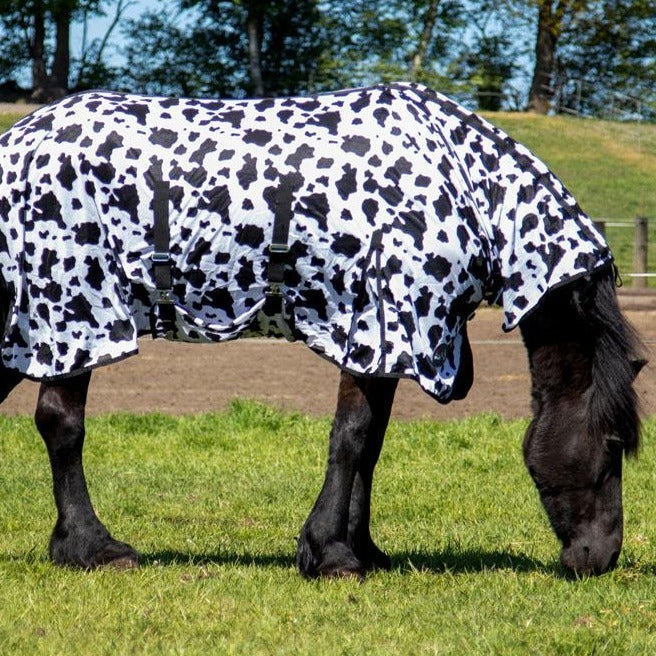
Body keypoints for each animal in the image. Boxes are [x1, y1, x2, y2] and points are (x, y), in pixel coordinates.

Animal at [0, 82, 643, 578]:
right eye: (614, 444)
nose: (600, 557)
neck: (465, 185)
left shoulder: (383, 345)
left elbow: (370, 443)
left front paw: (362, 548)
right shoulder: (379, 326)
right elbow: (351, 437)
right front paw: (332, 554)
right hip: (76, 317)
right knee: (61, 425)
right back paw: (93, 548)